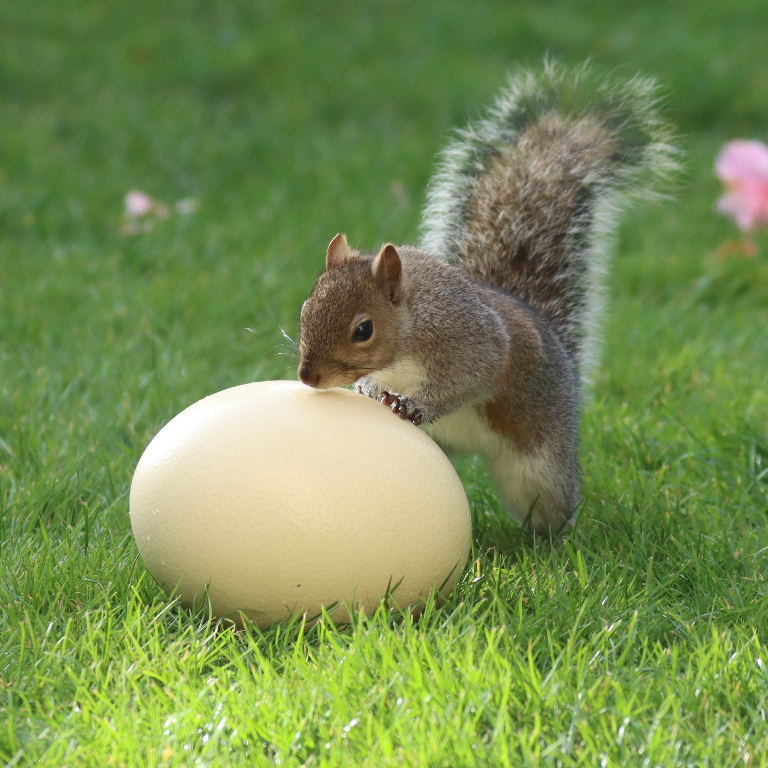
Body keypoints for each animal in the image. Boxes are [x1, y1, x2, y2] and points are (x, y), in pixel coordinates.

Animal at [296, 62, 677, 535]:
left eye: (363, 330)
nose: (308, 377)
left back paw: (554, 540)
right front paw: (368, 387)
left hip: (542, 462)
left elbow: (472, 377)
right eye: (305, 310)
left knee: (553, 504)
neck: (415, 323)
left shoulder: (472, 341)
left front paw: (413, 403)